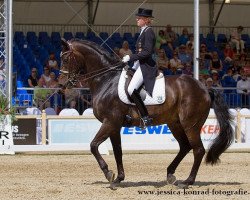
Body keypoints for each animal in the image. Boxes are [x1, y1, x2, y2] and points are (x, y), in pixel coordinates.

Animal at [59, 38, 234, 189]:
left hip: (190, 124)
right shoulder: (114, 125)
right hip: (175, 123)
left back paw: (187, 181)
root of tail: (204, 88)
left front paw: (108, 173)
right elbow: (117, 151)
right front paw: (118, 178)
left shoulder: (110, 121)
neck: (106, 80)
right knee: (185, 146)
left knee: (198, 150)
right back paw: (170, 174)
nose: (62, 85)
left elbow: (93, 146)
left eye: (66, 59)